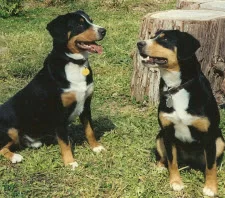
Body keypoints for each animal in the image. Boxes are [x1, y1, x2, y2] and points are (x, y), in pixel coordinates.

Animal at [0, 10, 106, 169]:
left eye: (90, 21)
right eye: (79, 24)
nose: (103, 30)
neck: (74, 63)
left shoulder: (86, 106)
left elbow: (89, 130)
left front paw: (96, 147)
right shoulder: (59, 113)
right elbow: (64, 142)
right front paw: (70, 162)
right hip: (11, 130)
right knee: (1, 147)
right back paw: (15, 157)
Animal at [137, 30, 225, 197]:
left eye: (165, 39)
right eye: (153, 36)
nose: (139, 44)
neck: (177, 88)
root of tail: (190, 160)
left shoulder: (209, 136)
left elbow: (210, 166)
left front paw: (211, 188)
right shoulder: (168, 132)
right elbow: (172, 161)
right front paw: (176, 183)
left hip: (220, 140)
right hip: (159, 137)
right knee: (164, 158)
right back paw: (159, 167)